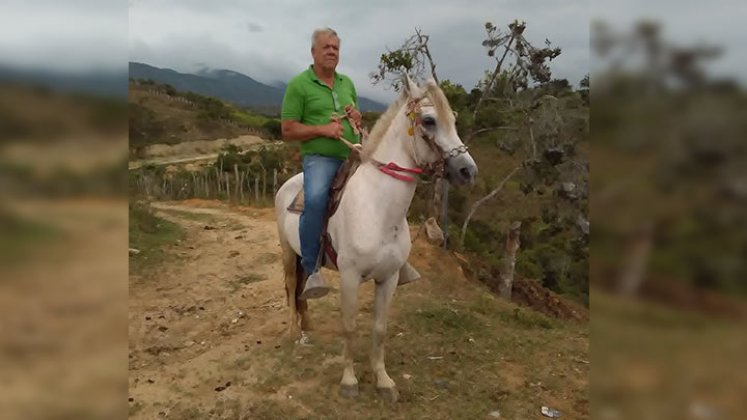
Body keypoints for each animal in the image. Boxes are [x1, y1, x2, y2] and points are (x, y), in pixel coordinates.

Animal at [274, 75, 480, 400]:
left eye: (454, 119)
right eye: (429, 120)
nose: (467, 171)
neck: (378, 208)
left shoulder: (389, 278)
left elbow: (380, 328)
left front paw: (383, 380)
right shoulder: (349, 276)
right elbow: (349, 326)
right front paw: (349, 381)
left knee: (303, 284)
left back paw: (308, 323)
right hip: (286, 250)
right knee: (292, 284)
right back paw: (294, 330)